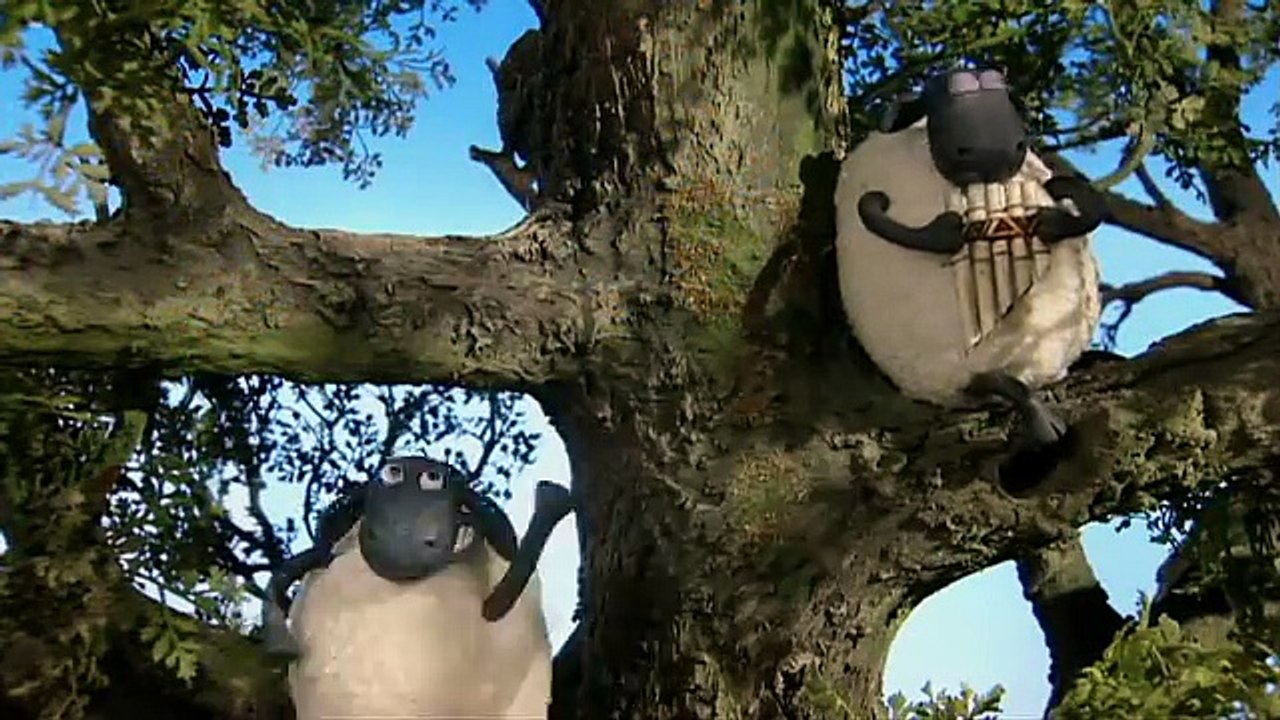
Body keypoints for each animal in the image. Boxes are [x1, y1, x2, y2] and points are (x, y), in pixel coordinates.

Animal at [833, 67, 1108, 478]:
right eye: (944, 95)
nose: (998, 149)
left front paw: (1056, 211)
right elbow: (880, 217)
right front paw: (947, 230)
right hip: (949, 366)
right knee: (992, 381)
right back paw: (1039, 418)